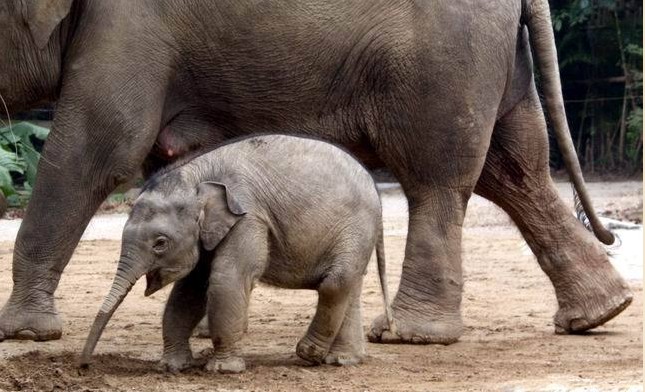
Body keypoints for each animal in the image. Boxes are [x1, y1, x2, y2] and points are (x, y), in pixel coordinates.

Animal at [0, 0, 628, 344]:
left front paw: (24, 333)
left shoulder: (123, 29)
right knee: (518, 172)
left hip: (443, 62)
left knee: (439, 179)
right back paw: (600, 313)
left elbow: (96, 150)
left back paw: (409, 336)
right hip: (495, 65)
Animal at [80, 135, 392, 374]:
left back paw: (310, 354)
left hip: (355, 230)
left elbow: (226, 279)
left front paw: (223, 370)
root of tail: (376, 193)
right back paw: (342, 360)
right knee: (349, 286)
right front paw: (172, 367)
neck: (198, 175)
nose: (84, 366)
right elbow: (190, 289)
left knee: (336, 282)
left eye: (160, 243)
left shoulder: (248, 217)